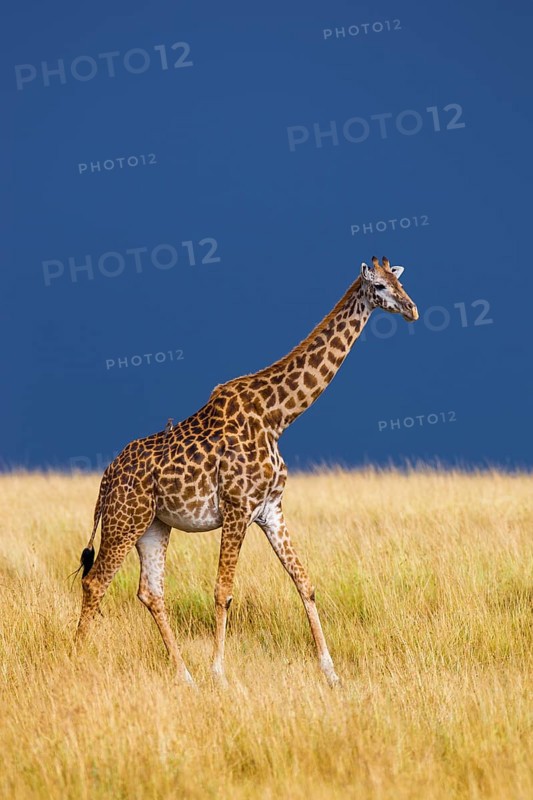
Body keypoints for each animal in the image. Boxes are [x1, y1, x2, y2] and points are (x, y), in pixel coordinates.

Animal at [76, 256, 418, 687]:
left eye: (400, 281)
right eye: (380, 287)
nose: (412, 310)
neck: (277, 416)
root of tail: (105, 480)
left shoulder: (270, 509)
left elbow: (304, 582)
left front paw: (331, 673)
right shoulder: (237, 508)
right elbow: (223, 590)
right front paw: (219, 673)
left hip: (154, 525)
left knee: (150, 591)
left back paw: (184, 676)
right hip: (125, 520)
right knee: (95, 582)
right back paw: (78, 658)